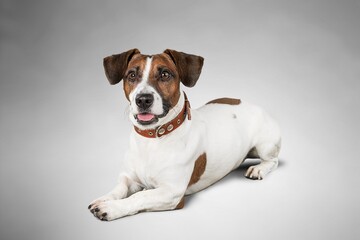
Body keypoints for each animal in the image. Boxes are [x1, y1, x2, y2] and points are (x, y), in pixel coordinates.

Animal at [87, 48, 282, 221]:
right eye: (132, 75)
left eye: (165, 74)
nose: (143, 99)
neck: (152, 139)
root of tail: (250, 103)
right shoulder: (129, 178)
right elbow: (119, 188)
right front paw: (104, 199)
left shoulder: (172, 193)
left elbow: (140, 196)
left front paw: (112, 208)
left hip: (265, 145)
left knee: (273, 161)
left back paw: (258, 168)